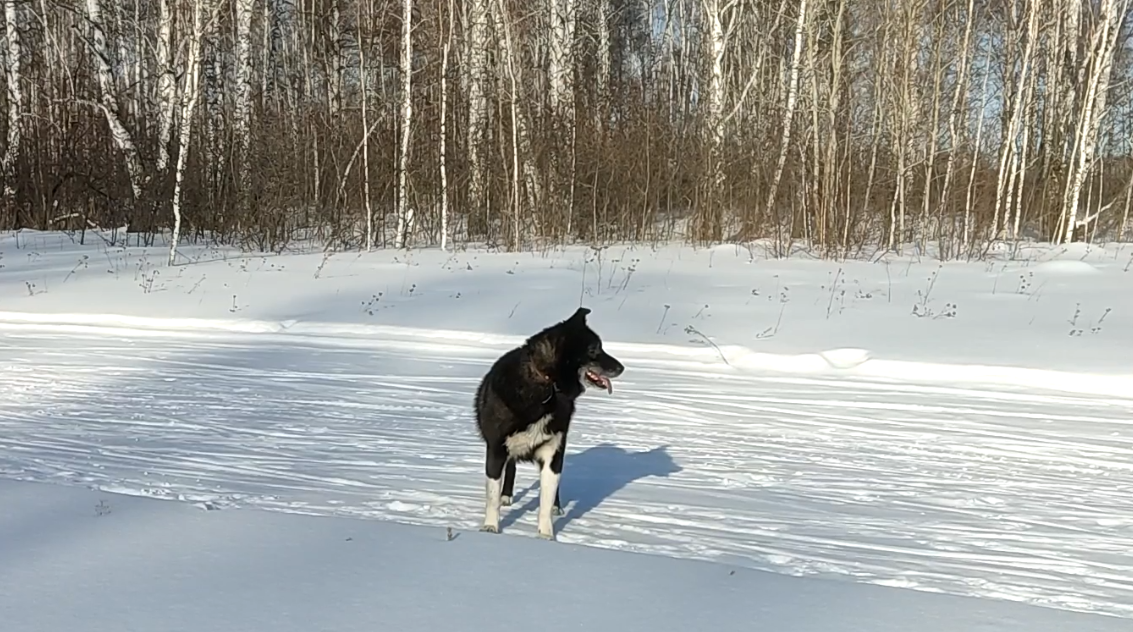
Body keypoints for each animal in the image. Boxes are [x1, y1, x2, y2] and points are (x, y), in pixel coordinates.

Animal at [473, 310, 625, 543]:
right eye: (593, 349)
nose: (621, 368)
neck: (546, 385)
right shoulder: (496, 449)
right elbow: (492, 496)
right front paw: (490, 527)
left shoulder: (552, 451)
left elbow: (546, 498)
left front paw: (546, 536)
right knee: (511, 467)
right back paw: (506, 497)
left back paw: (556, 507)